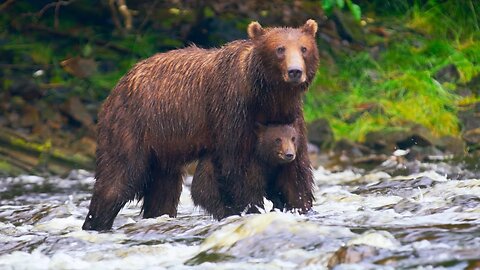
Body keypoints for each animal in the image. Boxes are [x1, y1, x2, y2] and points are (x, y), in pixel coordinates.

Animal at [82, 19, 318, 230]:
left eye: (304, 48)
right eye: (280, 49)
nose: (295, 71)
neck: (269, 97)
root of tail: (118, 85)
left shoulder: (289, 115)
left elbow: (295, 172)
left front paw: (300, 207)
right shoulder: (232, 113)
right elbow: (238, 167)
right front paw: (251, 208)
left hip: (163, 147)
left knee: (164, 188)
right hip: (132, 124)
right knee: (118, 177)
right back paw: (96, 222)